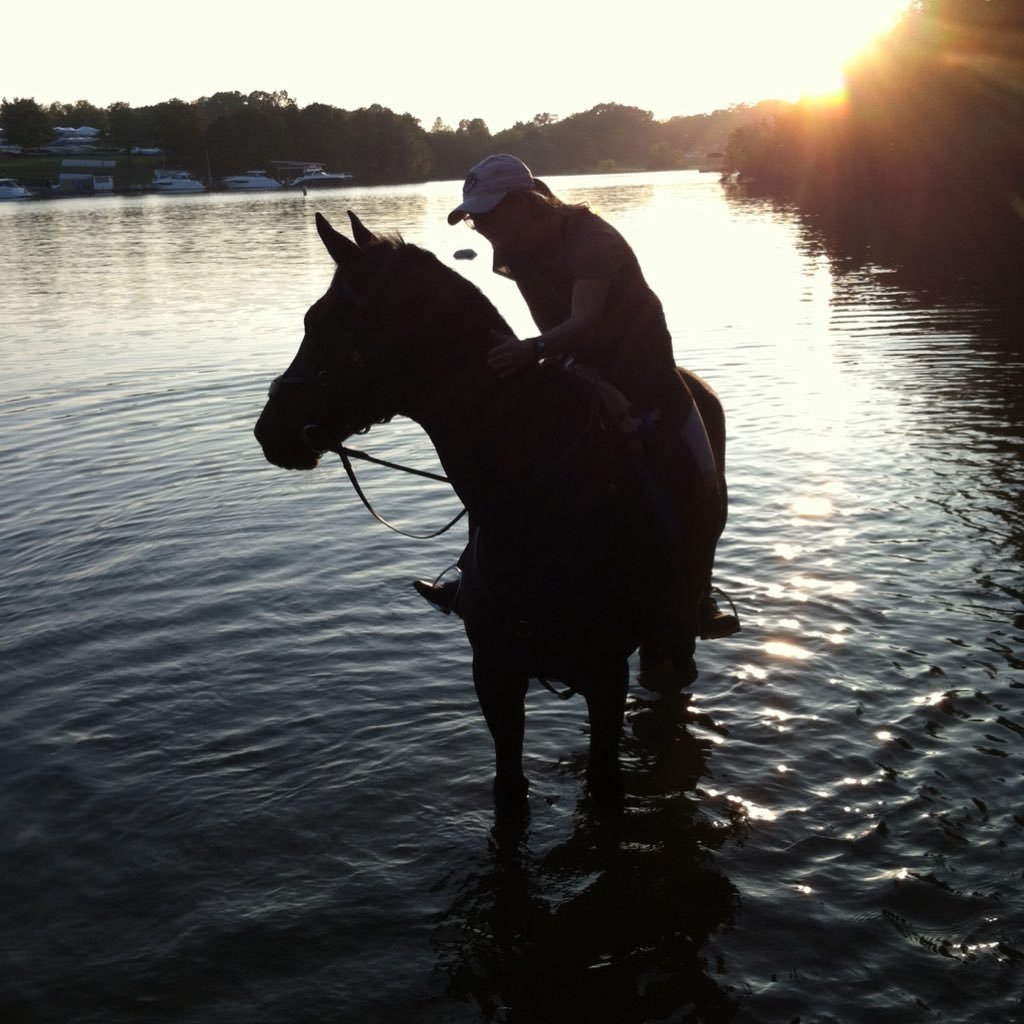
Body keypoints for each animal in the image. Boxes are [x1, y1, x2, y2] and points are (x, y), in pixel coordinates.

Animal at [254, 211, 727, 810]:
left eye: (318, 321)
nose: (268, 429)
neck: (541, 503)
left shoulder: (605, 675)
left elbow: (604, 786)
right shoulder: (496, 676)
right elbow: (508, 788)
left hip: (671, 634)